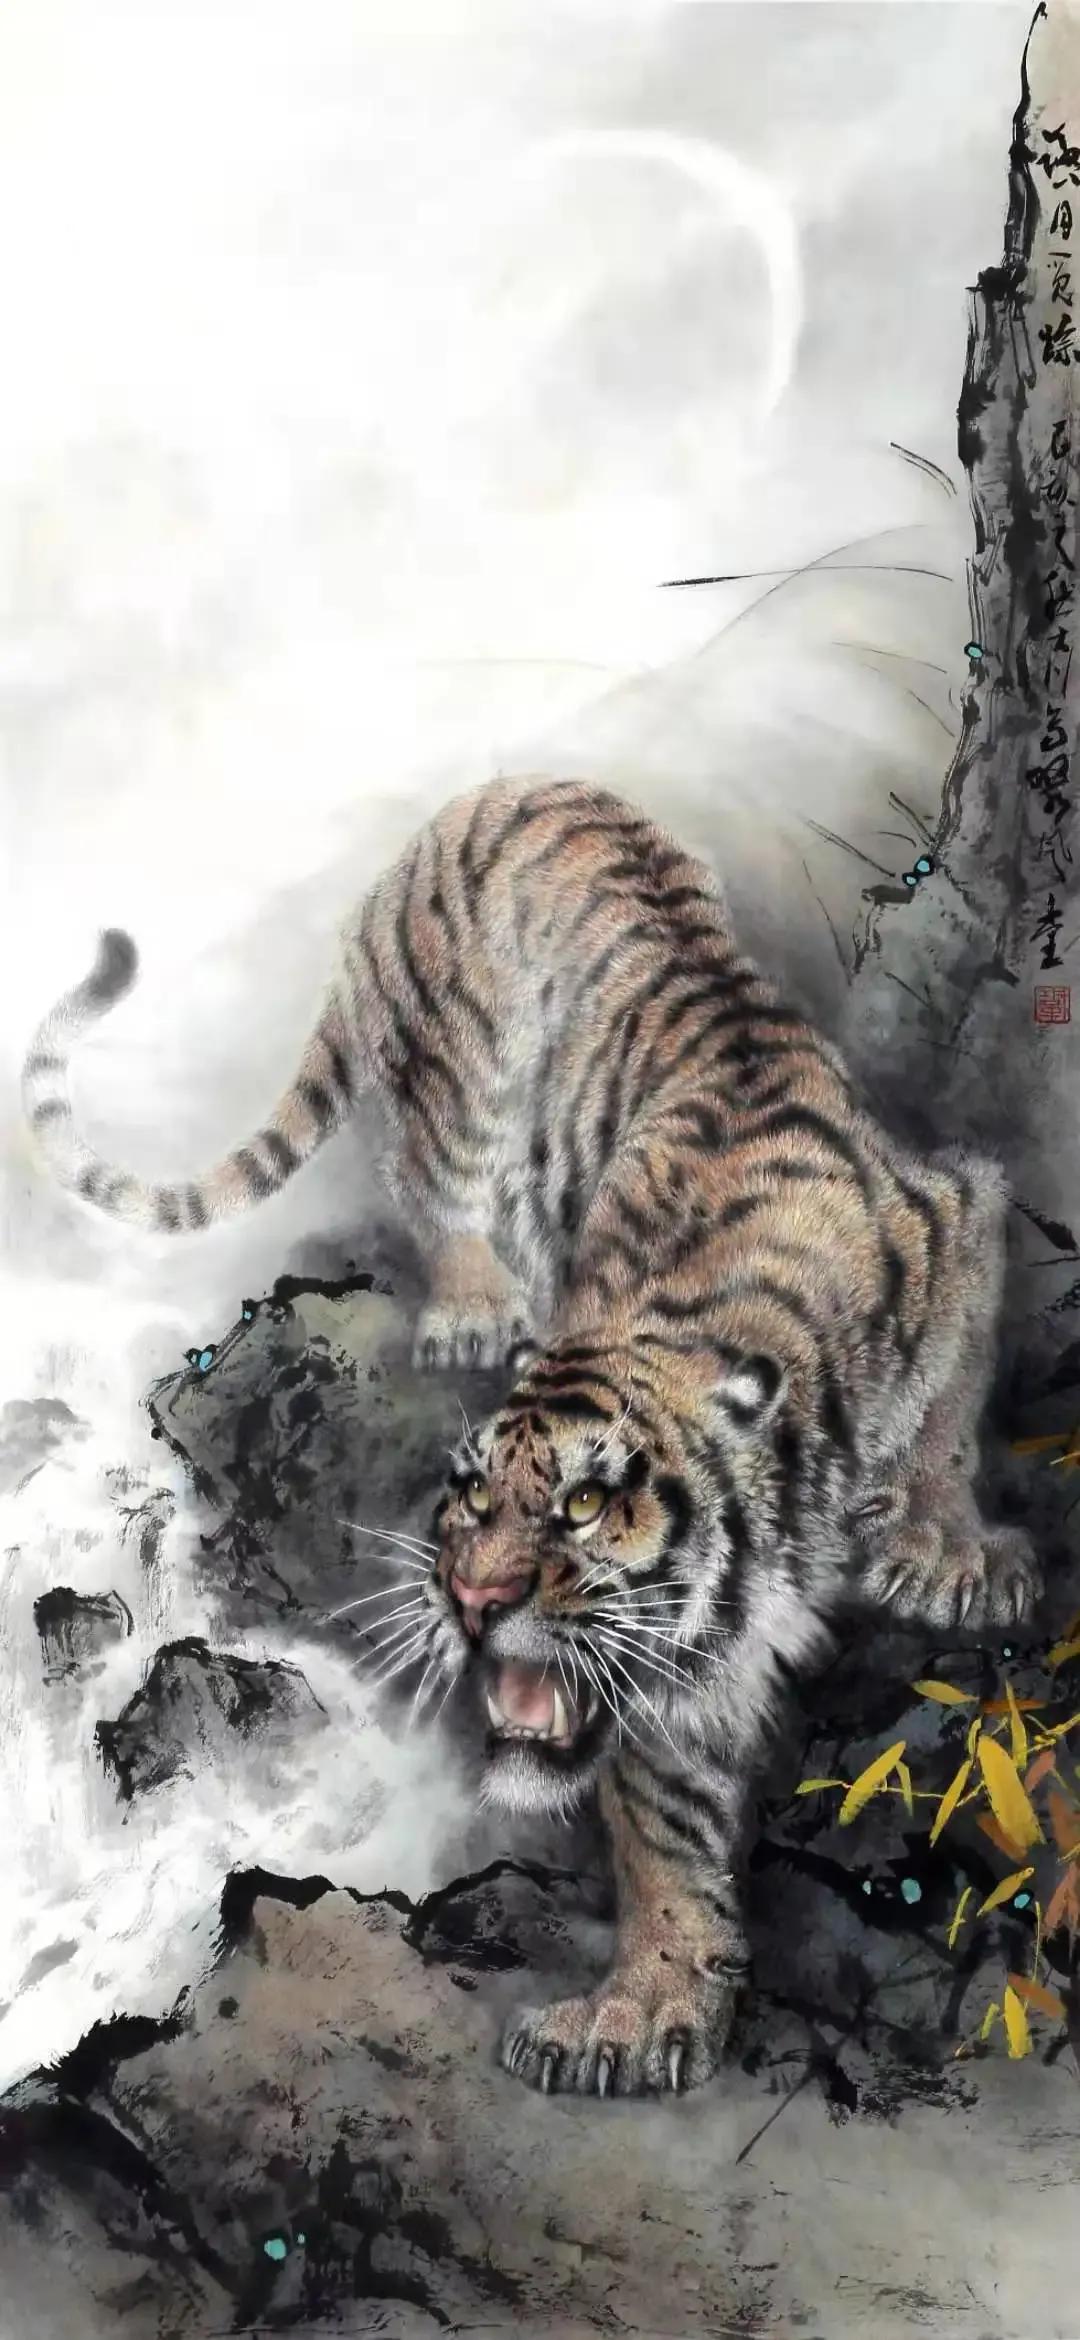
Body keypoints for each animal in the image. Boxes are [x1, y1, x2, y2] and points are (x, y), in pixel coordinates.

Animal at [22, 775, 1039, 2098]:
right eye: (467, 1498)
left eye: (585, 1504)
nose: (468, 1600)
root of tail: (467, 809)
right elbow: (663, 1824)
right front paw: (643, 2010)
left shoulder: (967, 1212)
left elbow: (951, 1415)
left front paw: (948, 1551)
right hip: (464, 1074)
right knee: (437, 1182)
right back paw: (470, 1304)